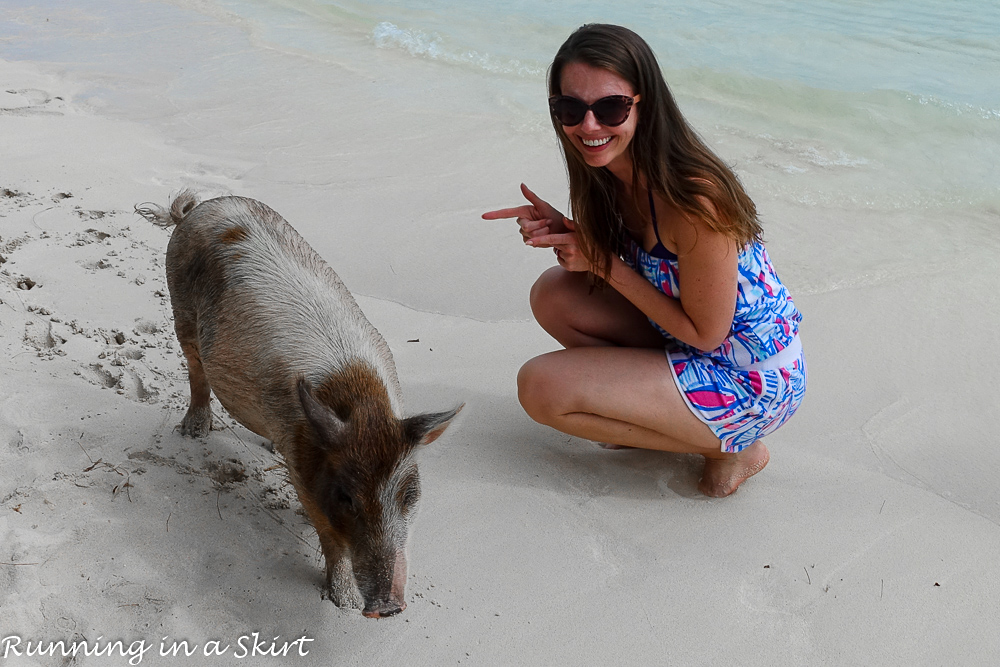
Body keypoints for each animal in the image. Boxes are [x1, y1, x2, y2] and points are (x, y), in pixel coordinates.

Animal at [137, 190, 460, 620]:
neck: (362, 406)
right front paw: (343, 603)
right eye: (346, 498)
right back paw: (192, 432)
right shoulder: (303, 474)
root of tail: (198, 209)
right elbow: (331, 540)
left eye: (409, 496)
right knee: (195, 370)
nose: (388, 607)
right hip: (180, 306)